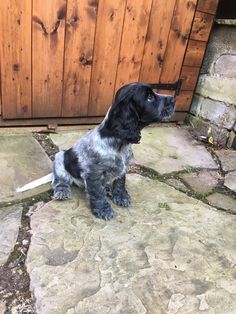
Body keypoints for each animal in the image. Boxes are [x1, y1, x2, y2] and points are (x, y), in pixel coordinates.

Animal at [17, 83, 175, 221]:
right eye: (150, 98)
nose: (174, 99)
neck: (118, 142)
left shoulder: (123, 167)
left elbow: (120, 183)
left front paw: (121, 197)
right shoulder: (93, 173)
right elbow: (97, 193)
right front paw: (104, 210)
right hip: (60, 158)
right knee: (59, 180)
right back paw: (62, 190)